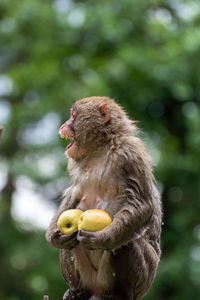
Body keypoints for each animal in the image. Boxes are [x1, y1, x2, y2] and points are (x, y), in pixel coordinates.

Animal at [45, 96, 161, 300]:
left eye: (73, 115)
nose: (63, 125)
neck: (99, 149)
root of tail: (96, 288)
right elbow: (72, 195)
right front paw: (54, 236)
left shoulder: (131, 154)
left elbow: (142, 204)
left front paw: (102, 238)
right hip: (87, 277)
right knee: (70, 246)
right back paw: (77, 291)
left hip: (144, 277)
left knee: (128, 242)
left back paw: (117, 294)